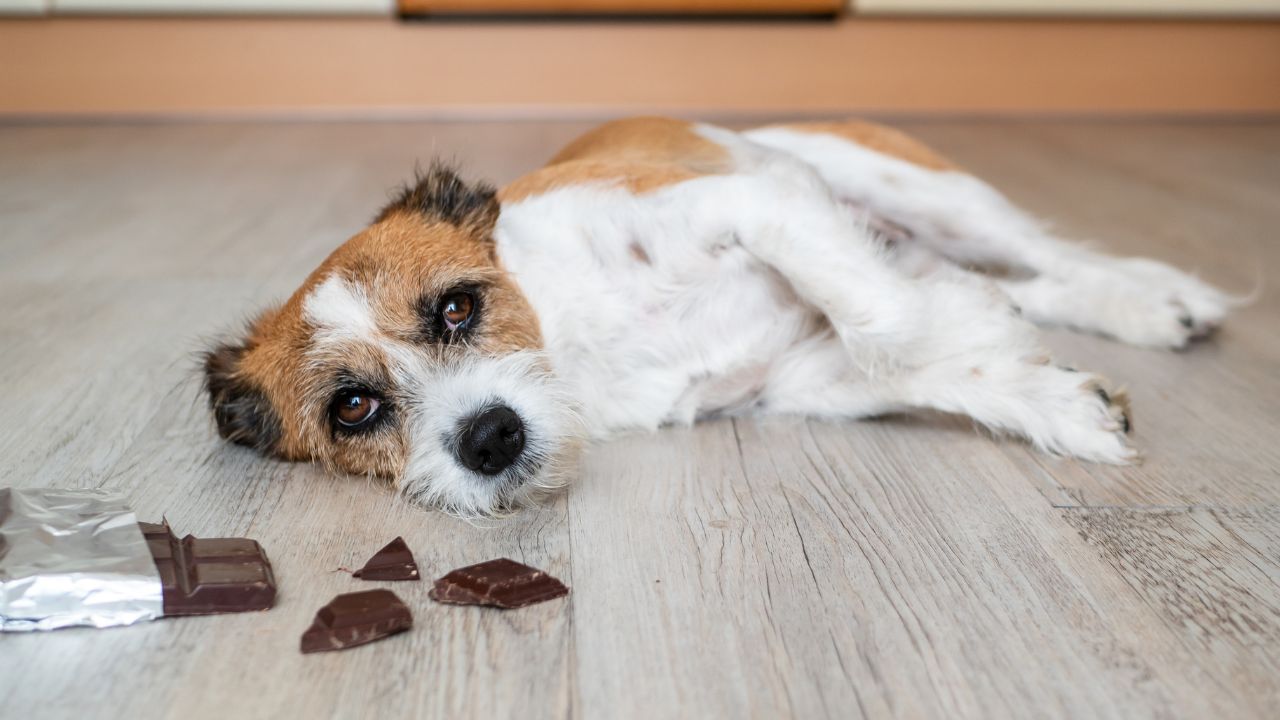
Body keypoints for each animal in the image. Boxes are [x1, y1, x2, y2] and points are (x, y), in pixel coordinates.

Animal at [204, 116, 1233, 515]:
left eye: (458, 307)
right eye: (353, 409)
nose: (489, 438)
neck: (574, 337)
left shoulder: (757, 201)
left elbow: (885, 322)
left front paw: (970, 331)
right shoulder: (798, 379)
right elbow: (909, 357)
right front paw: (1049, 396)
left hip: (922, 190)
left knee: (1050, 256)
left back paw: (1157, 299)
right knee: (1020, 280)